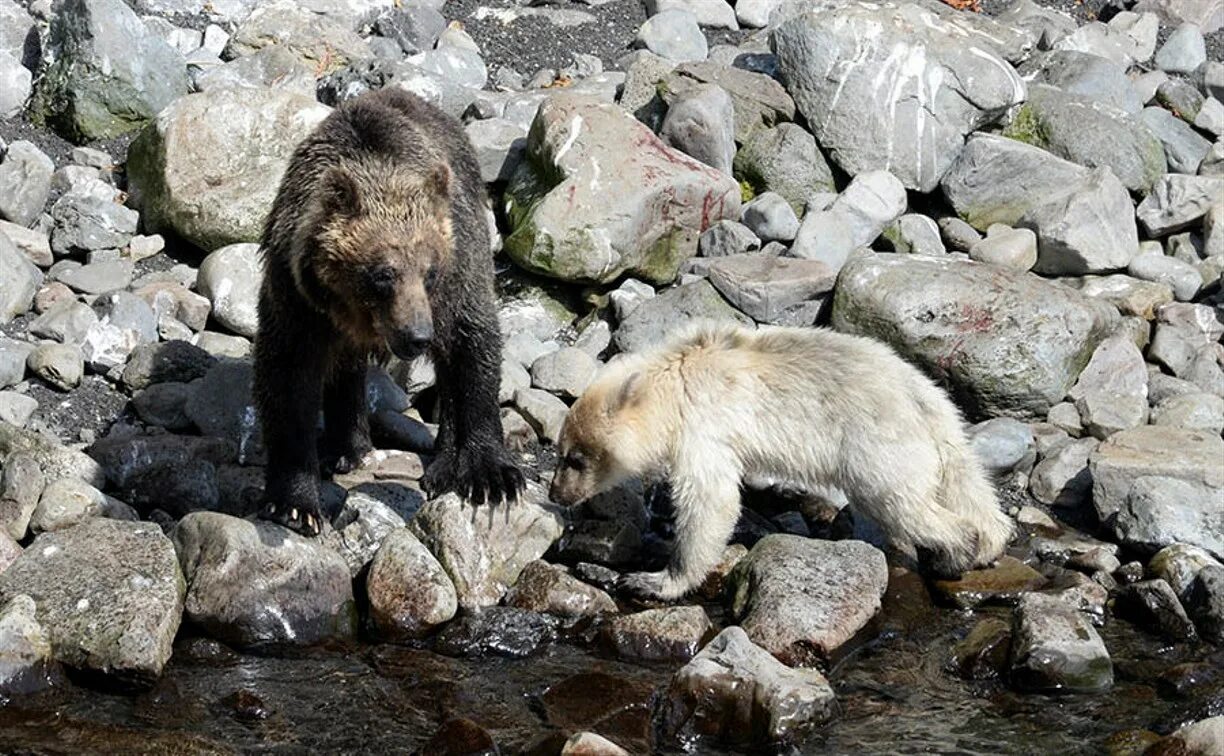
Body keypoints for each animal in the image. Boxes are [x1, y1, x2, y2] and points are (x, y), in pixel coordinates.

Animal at [253, 88, 521, 533]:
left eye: (429, 271)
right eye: (383, 274)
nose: (417, 336)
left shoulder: (456, 272)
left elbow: (473, 345)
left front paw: (490, 475)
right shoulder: (298, 299)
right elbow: (288, 378)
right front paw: (294, 503)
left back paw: (443, 462)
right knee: (345, 367)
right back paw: (345, 448)